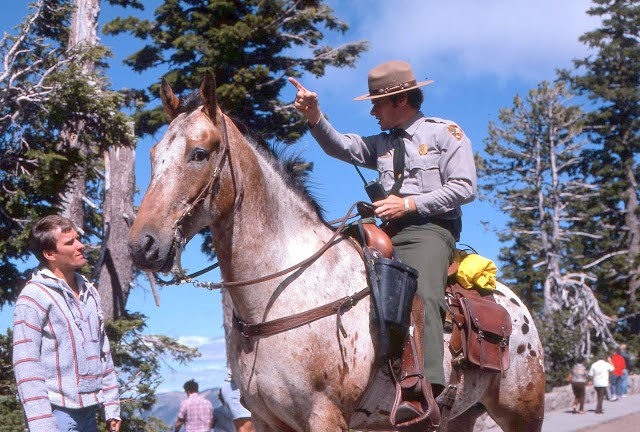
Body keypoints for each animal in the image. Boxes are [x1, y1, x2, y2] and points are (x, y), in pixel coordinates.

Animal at [129, 71, 544, 432]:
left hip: (522, 412)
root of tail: (516, 306)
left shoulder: (324, 415)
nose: (141, 244)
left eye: (199, 153)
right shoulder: (266, 420)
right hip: (456, 417)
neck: (279, 296)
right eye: (152, 155)